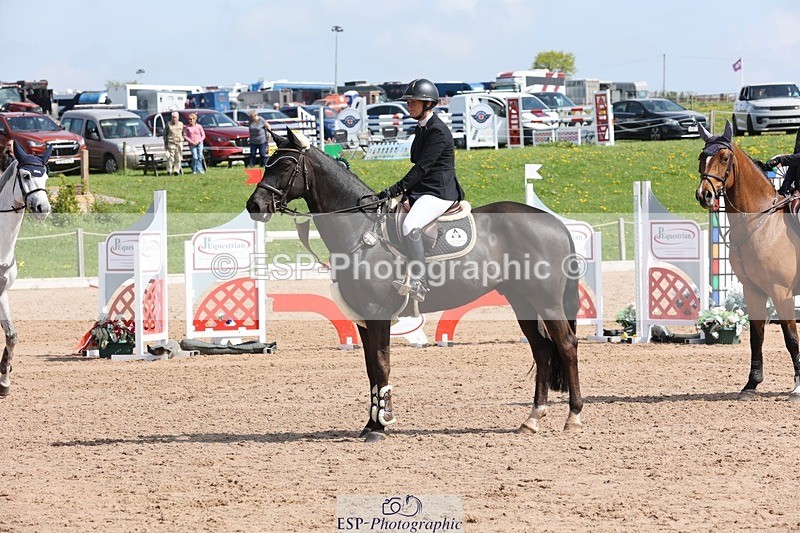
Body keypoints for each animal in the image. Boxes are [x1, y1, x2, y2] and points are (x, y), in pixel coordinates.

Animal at [246, 129, 583, 442]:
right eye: (268, 163)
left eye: (286, 165)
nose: (254, 205)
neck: (362, 231)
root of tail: (554, 222)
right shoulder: (363, 320)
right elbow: (371, 370)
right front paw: (371, 423)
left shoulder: (377, 315)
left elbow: (381, 365)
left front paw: (381, 426)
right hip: (521, 300)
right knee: (542, 349)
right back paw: (532, 419)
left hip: (547, 302)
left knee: (566, 345)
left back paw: (574, 417)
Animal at [696, 121, 800, 401]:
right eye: (701, 157)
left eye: (724, 157)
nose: (704, 195)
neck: (762, 222)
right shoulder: (752, 290)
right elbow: (756, 337)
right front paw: (751, 384)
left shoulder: (781, 292)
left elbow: (791, 338)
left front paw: (798, 387)